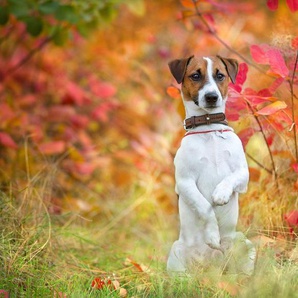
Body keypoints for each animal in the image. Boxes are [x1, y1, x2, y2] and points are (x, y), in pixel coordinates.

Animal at [166, 55, 255, 274]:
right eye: (195, 76)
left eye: (220, 75)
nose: (212, 96)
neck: (208, 125)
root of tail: (211, 266)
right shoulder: (185, 182)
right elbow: (204, 206)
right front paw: (213, 235)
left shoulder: (243, 175)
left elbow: (230, 178)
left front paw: (221, 193)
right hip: (176, 251)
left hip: (245, 243)